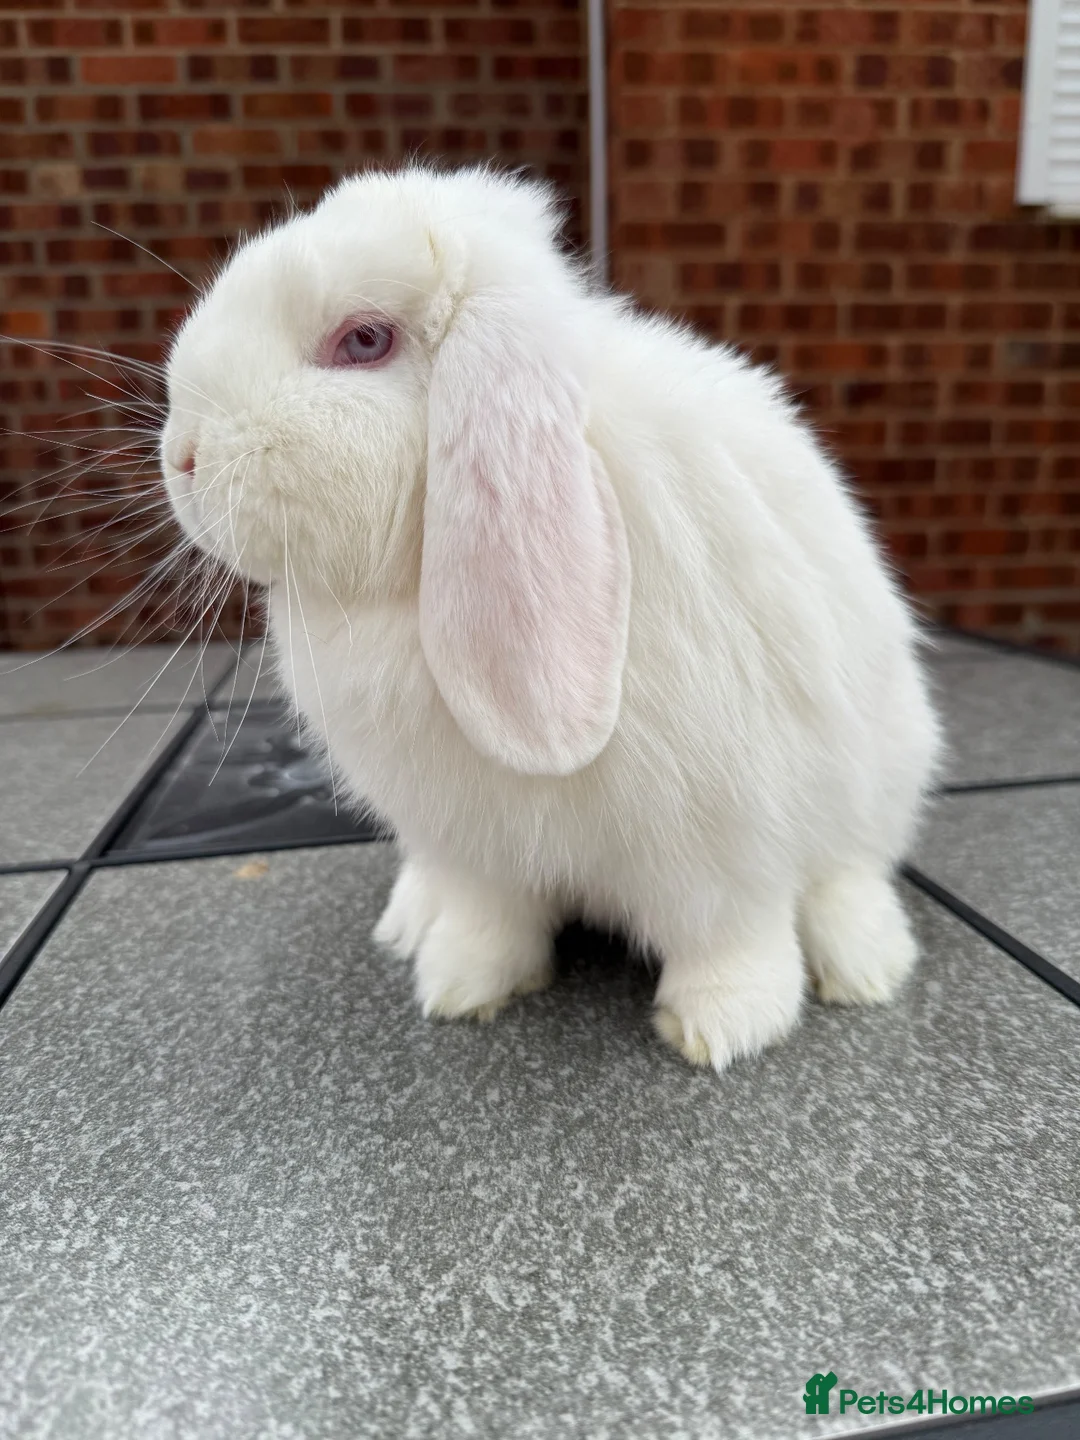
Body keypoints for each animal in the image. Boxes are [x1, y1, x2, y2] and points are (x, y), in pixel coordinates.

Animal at [160, 162, 942, 1073]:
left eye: (363, 341)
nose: (180, 456)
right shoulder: (477, 847)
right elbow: (489, 920)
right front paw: (460, 987)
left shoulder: (726, 843)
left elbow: (731, 939)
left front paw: (722, 1028)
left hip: (884, 774)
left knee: (851, 869)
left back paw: (864, 962)